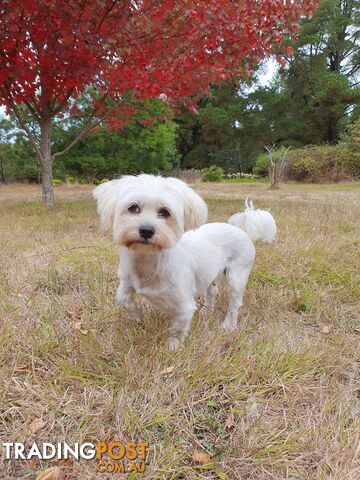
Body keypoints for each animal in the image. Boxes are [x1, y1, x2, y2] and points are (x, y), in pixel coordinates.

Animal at [93, 174, 276, 350]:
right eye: (133, 208)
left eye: (165, 212)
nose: (146, 230)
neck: (149, 262)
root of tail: (241, 229)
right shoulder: (127, 281)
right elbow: (123, 299)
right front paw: (138, 316)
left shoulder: (184, 304)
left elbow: (178, 326)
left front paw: (173, 346)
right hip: (210, 275)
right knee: (212, 292)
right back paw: (206, 313)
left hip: (237, 276)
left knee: (235, 303)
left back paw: (228, 325)